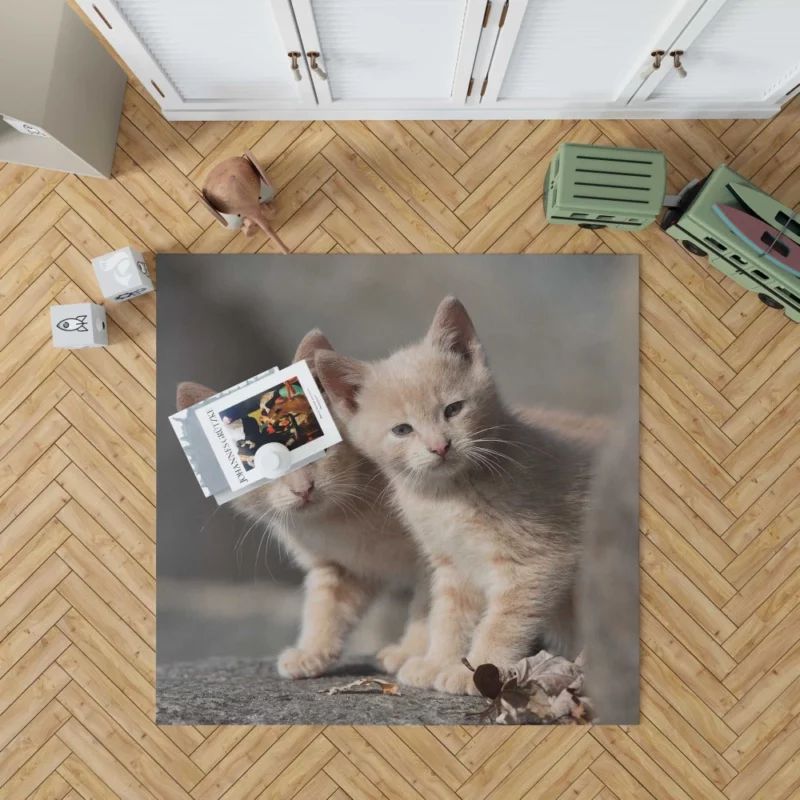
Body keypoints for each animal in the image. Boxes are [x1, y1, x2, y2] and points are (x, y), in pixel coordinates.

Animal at [174, 332, 424, 680]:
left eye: (320, 450)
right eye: (264, 465)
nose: (303, 488)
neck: (344, 521)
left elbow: (434, 604)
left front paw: (413, 652)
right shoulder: (339, 565)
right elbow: (327, 606)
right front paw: (312, 651)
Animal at [316, 296, 596, 692]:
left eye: (453, 409)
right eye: (402, 430)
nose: (440, 446)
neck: (448, 496)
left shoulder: (538, 561)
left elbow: (502, 621)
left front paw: (479, 669)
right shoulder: (452, 564)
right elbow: (448, 616)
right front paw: (438, 662)